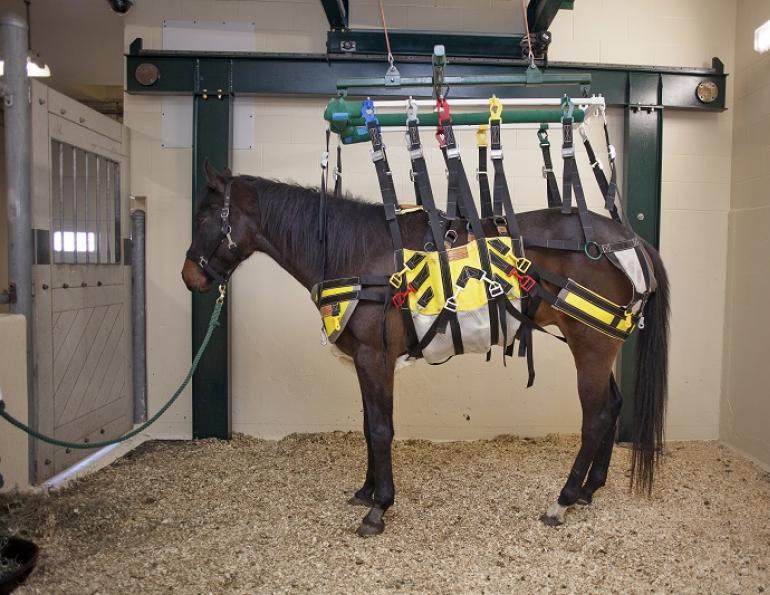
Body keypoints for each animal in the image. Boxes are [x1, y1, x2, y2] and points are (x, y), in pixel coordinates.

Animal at [182, 162, 670, 537]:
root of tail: (629, 241)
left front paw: (379, 508)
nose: (191, 277)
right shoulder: (366, 361)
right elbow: (369, 424)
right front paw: (366, 490)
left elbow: (381, 429)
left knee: (596, 416)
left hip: (591, 345)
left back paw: (563, 499)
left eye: (204, 220)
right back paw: (589, 489)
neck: (361, 257)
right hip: (596, 341)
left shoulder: (375, 357)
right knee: (613, 404)